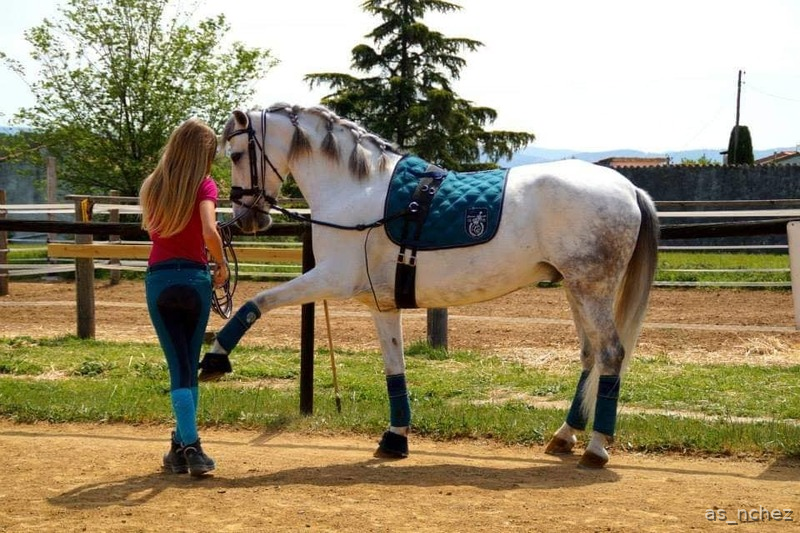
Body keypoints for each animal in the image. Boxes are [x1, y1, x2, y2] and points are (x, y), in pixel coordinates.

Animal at [200, 103, 659, 469]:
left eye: (236, 154)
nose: (247, 218)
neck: (358, 193)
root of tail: (628, 187)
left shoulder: (330, 277)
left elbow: (260, 300)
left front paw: (215, 360)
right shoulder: (381, 304)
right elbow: (394, 368)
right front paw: (395, 438)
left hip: (592, 289)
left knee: (611, 353)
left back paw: (596, 447)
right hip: (575, 289)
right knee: (591, 355)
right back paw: (565, 435)